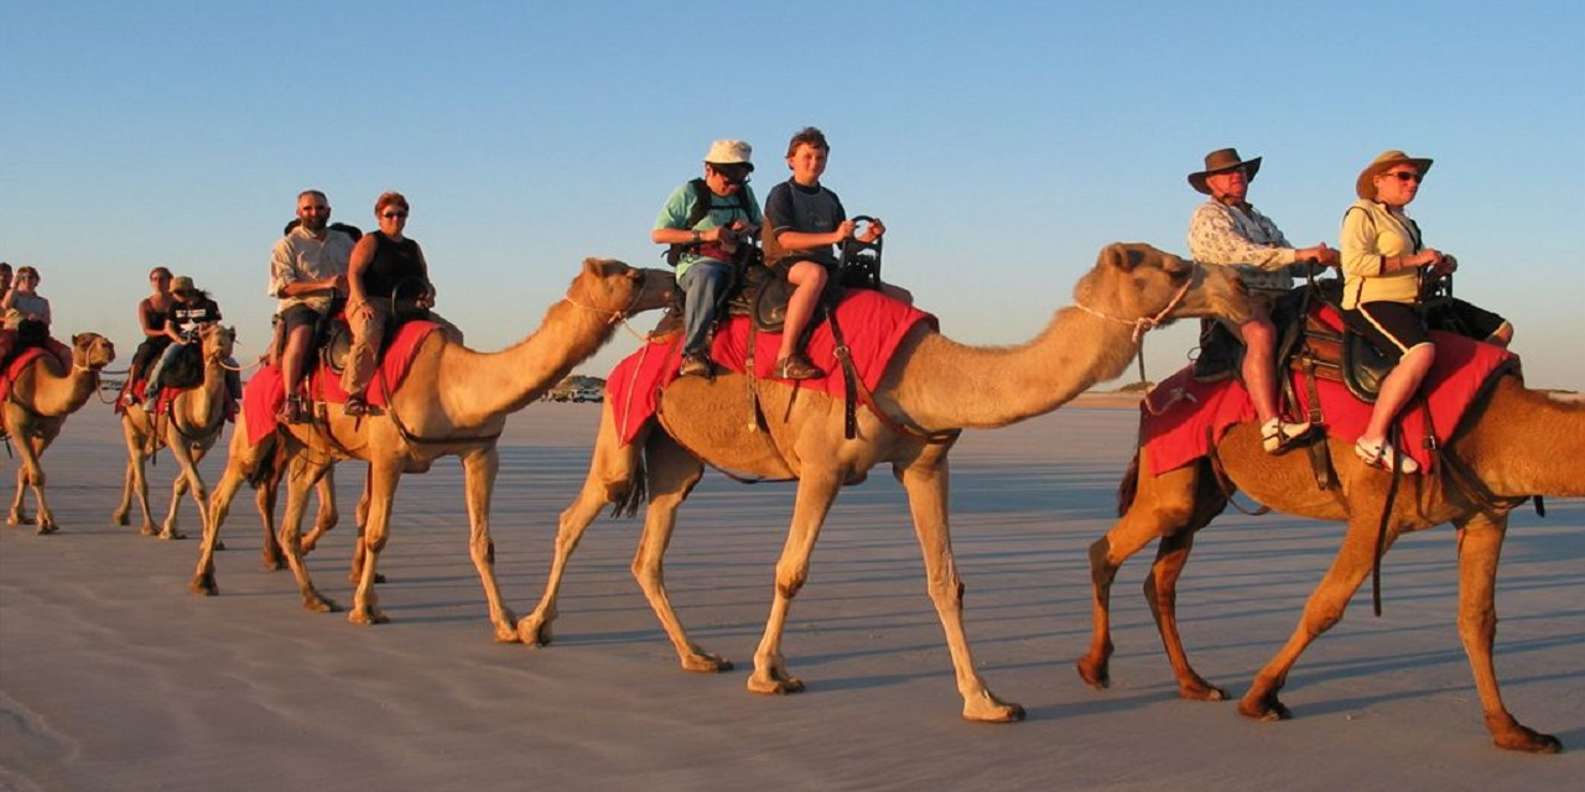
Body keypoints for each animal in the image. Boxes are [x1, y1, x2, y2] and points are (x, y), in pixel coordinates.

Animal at [2, 333, 117, 534]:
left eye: (105, 340)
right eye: (83, 343)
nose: (108, 346)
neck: (39, 387)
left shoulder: (49, 432)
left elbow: (27, 472)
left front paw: (19, 516)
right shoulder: (17, 425)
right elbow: (36, 476)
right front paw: (46, 522)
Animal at [111, 324, 237, 540]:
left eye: (230, 337)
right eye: (206, 335)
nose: (219, 348)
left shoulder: (205, 443)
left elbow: (183, 484)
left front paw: (172, 529)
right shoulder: (177, 439)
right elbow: (199, 488)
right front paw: (208, 537)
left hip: (158, 437)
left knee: (134, 460)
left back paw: (122, 515)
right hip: (130, 421)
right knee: (139, 467)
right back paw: (149, 526)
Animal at [191, 258, 675, 645]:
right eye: (633, 276)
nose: (672, 280)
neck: (453, 381)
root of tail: (261, 367)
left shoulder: (480, 453)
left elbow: (482, 543)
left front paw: (507, 624)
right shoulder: (388, 456)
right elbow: (377, 533)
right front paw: (366, 609)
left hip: (314, 450)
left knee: (291, 518)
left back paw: (314, 597)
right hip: (254, 431)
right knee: (223, 496)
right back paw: (204, 579)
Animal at [517, 243, 1252, 722]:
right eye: (1175, 267)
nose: (1242, 288)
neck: (922, 372)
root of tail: (634, 359)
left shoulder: (924, 463)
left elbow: (945, 580)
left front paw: (985, 699)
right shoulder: (820, 466)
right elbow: (791, 570)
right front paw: (769, 674)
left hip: (678, 459)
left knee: (649, 551)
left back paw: (697, 656)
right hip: (621, 427)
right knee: (577, 514)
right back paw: (530, 628)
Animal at [1077, 373, 1585, 752]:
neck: (1499, 428)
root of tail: (1151, 398)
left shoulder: (1485, 517)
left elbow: (1478, 621)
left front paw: (1511, 729)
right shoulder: (1377, 510)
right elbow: (1325, 607)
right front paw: (1261, 698)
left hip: (1205, 490)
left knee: (1160, 576)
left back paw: (1193, 683)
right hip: (1170, 478)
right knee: (1105, 549)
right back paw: (1095, 667)